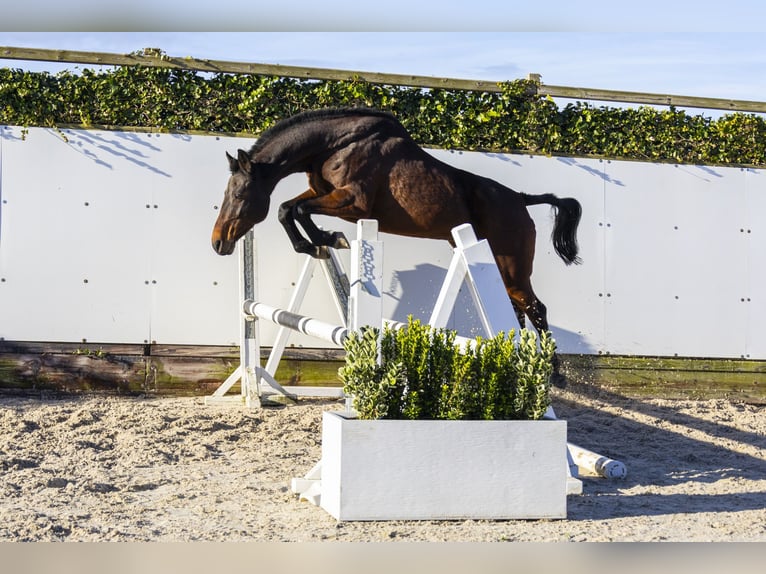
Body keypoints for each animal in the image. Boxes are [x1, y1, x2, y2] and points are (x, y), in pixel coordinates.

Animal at [210, 107, 584, 348]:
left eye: (239, 194)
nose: (218, 242)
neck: (335, 144)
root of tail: (521, 199)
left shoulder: (353, 202)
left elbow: (297, 209)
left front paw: (328, 239)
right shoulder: (322, 193)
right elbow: (287, 209)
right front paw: (318, 244)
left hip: (512, 266)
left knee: (535, 308)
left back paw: (552, 373)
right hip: (498, 267)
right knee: (518, 310)